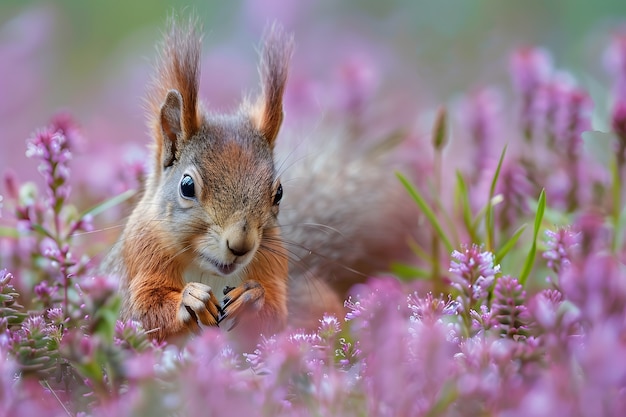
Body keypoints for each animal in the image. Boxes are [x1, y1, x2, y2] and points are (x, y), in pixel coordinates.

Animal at [103, 16, 414, 342]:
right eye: (187, 187)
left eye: (279, 192)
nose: (241, 245)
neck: (208, 271)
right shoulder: (141, 256)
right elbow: (142, 310)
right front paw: (190, 299)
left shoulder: (273, 264)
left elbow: (275, 315)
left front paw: (252, 297)